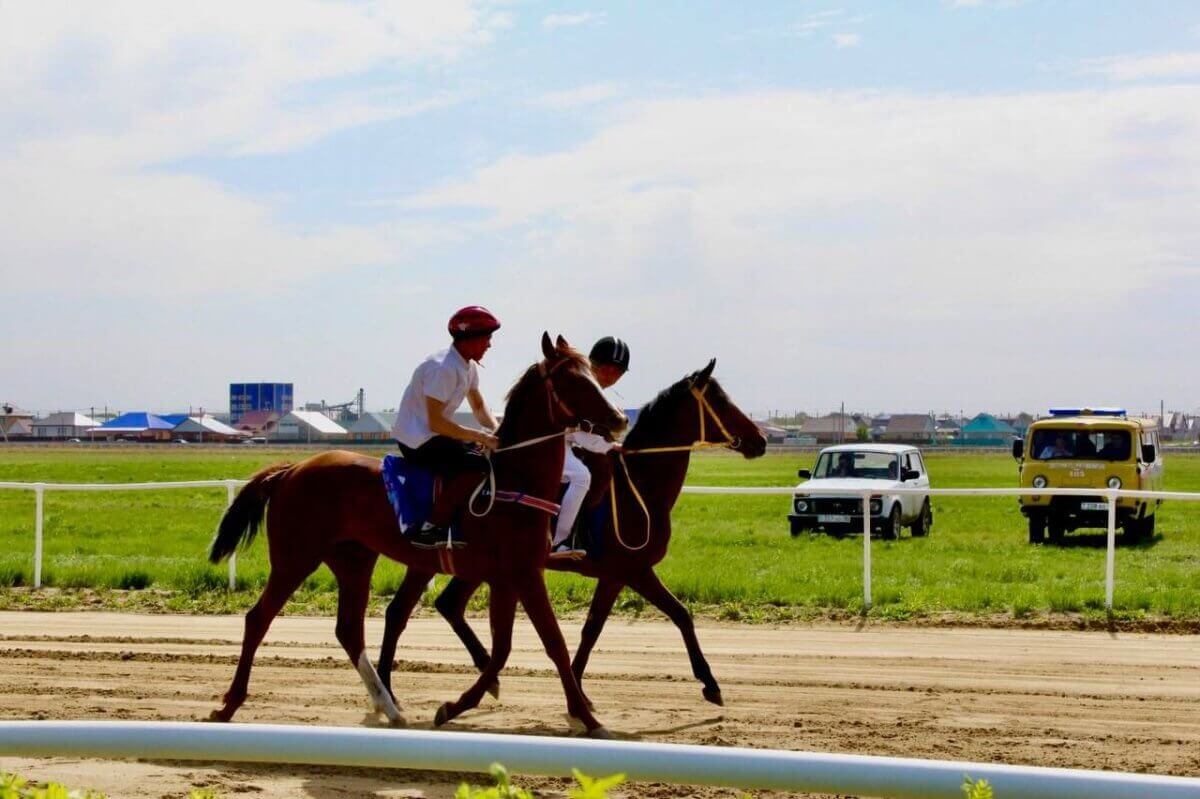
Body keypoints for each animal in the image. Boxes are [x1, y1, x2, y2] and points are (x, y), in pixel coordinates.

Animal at [206, 328, 628, 734]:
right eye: (574, 379)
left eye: (593, 374)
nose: (620, 419)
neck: (516, 481)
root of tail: (290, 470)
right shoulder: (523, 575)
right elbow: (552, 643)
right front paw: (588, 718)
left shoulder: (508, 578)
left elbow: (506, 648)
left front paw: (458, 705)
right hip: (296, 558)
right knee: (258, 619)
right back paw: (229, 703)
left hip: (353, 560)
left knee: (349, 630)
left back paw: (390, 707)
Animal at [376, 357, 768, 705]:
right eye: (721, 400)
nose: (761, 439)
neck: (638, 487)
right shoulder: (627, 571)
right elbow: (608, 626)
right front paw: (708, 683)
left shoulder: (627, 572)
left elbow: (670, 615)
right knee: (415, 610)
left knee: (447, 604)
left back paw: (485, 673)